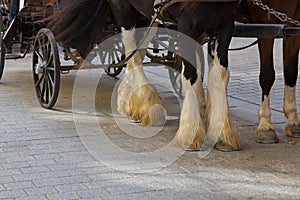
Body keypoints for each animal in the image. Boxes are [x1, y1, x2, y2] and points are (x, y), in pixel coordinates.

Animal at [49, 0, 241, 150]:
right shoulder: (188, 26)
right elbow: (191, 76)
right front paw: (191, 134)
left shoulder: (224, 26)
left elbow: (219, 78)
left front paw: (223, 134)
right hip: (124, 10)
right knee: (133, 55)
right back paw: (148, 105)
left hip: (148, 16)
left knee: (136, 54)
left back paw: (129, 102)